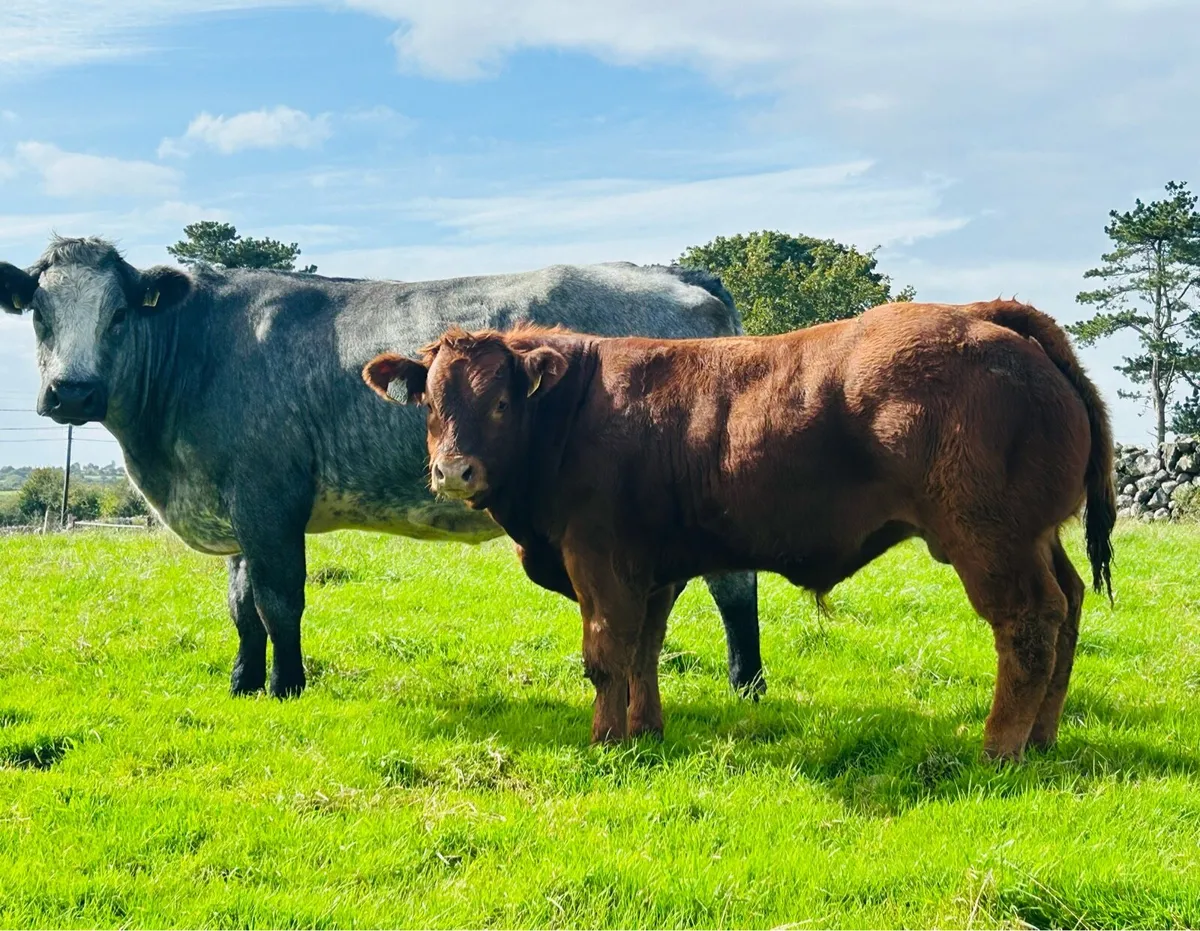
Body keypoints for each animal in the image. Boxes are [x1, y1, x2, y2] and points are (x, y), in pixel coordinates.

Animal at [0, 236, 763, 699]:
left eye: (119, 313)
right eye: (39, 313)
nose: (73, 391)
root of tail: (675, 274)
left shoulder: (268, 494)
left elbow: (279, 599)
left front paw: (288, 685)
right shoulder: (236, 501)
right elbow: (241, 604)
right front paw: (244, 683)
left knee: (734, 582)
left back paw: (745, 682)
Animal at [363, 300, 1117, 760]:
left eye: (499, 401)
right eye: (429, 400)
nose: (452, 470)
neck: (573, 412)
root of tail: (985, 315)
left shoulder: (598, 556)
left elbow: (606, 654)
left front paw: (606, 741)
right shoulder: (653, 567)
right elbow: (644, 651)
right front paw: (645, 730)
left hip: (989, 539)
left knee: (1029, 623)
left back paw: (1000, 746)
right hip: (1035, 534)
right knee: (1071, 604)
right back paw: (1042, 736)